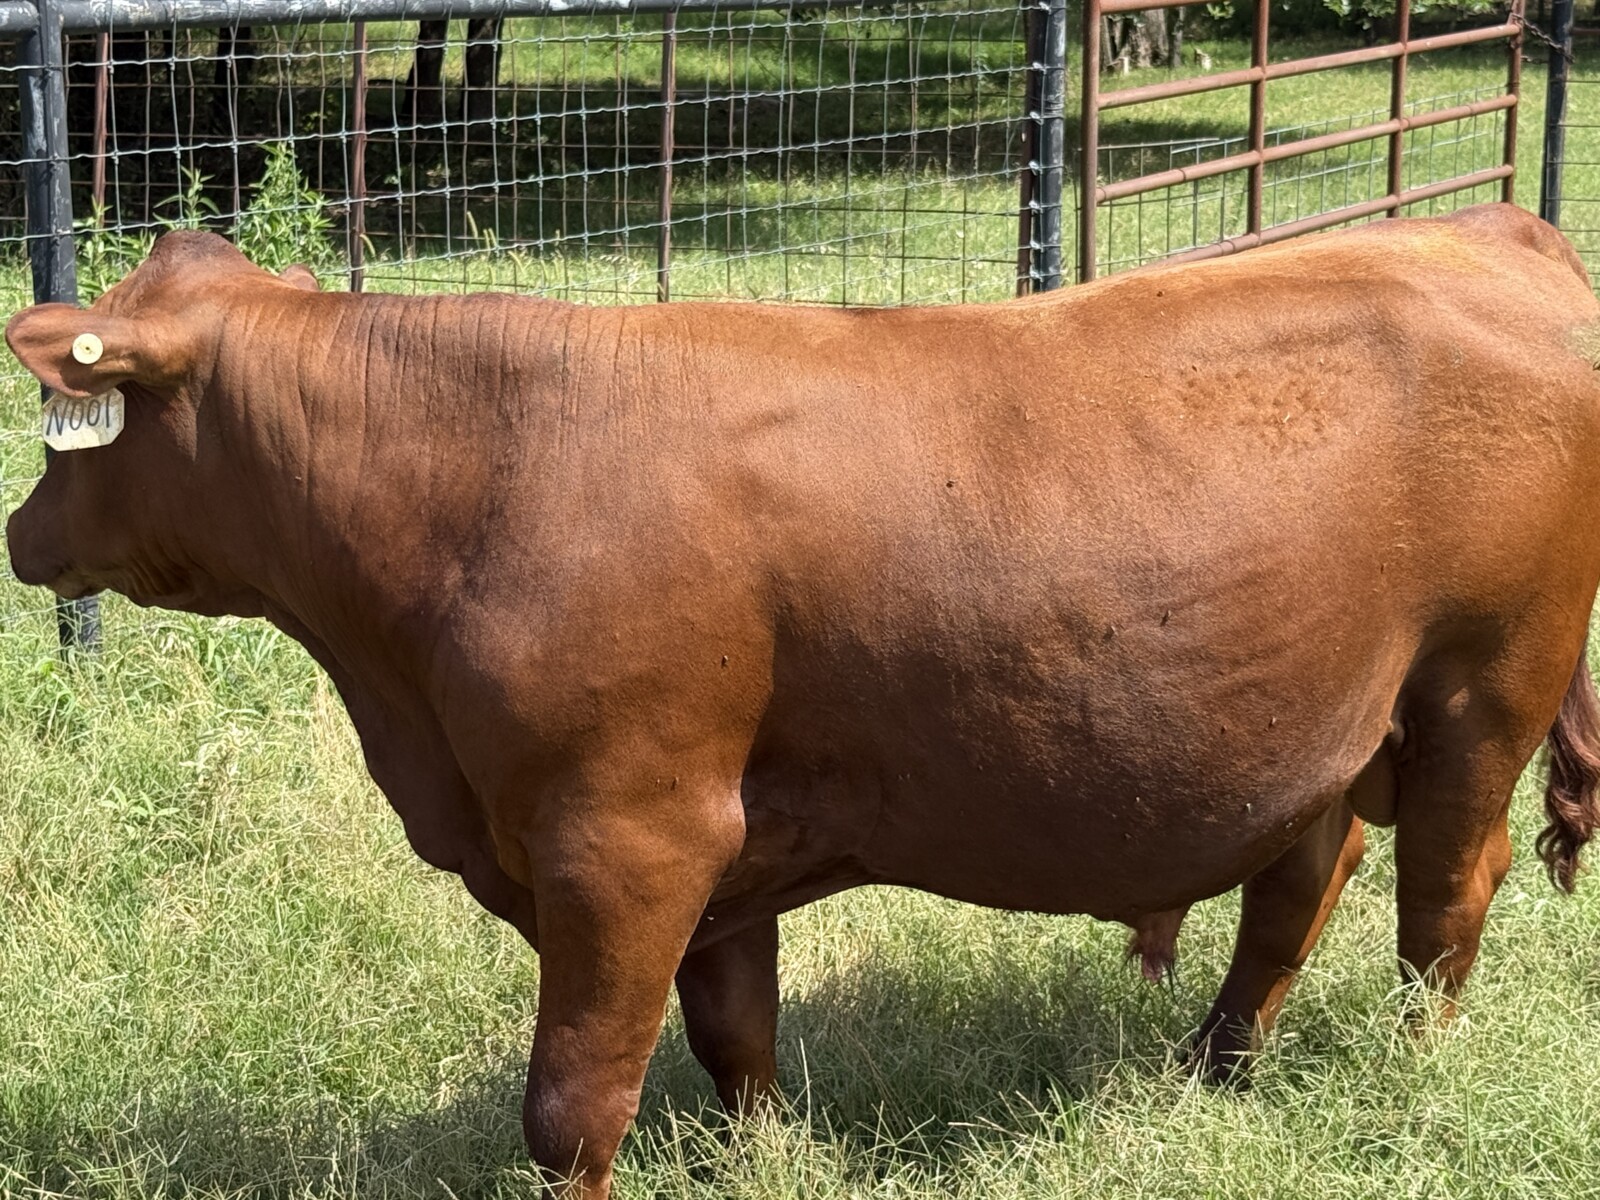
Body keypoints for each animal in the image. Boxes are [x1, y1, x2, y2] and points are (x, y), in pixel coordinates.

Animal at [7, 203, 1600, 1198]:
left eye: (78, 430)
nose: (20, 533)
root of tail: (1484, 230)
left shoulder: (623, 836)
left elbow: (573, 1102)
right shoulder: (719, 840)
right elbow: (737, 1040)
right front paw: (762, 1161)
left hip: (1480, 692)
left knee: (1443, 902)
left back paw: (1404, 1079)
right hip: (1326, 722)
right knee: (1299, 883)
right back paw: (1210, 1075)